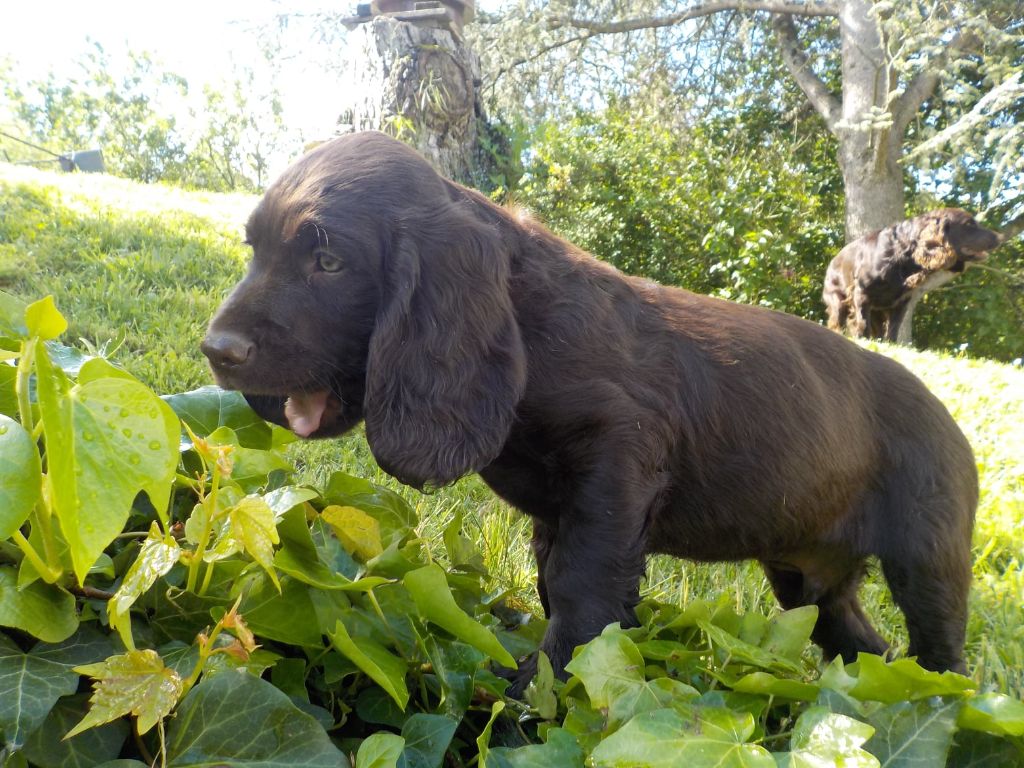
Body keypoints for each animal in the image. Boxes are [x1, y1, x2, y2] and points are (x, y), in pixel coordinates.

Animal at [203, 132, 978, 692]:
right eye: (255, 250)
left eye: (329, 262)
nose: (216, 350)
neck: (530, 334)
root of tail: (950, 420)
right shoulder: (558, 512)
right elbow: (554, 585)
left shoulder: (616, 466)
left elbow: (581, 592)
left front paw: (538, 692)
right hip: (807, 576)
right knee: (864, 649)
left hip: (928, 559)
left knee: (940, 653)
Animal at [823, 208, 999, 344]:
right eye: (969, 224)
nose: (999, 237)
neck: (902, 255)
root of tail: (832, 261)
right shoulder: (861, 293)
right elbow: (862, 323)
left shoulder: (902, 301)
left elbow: (893, 329)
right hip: (837, 300)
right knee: (837, 322)